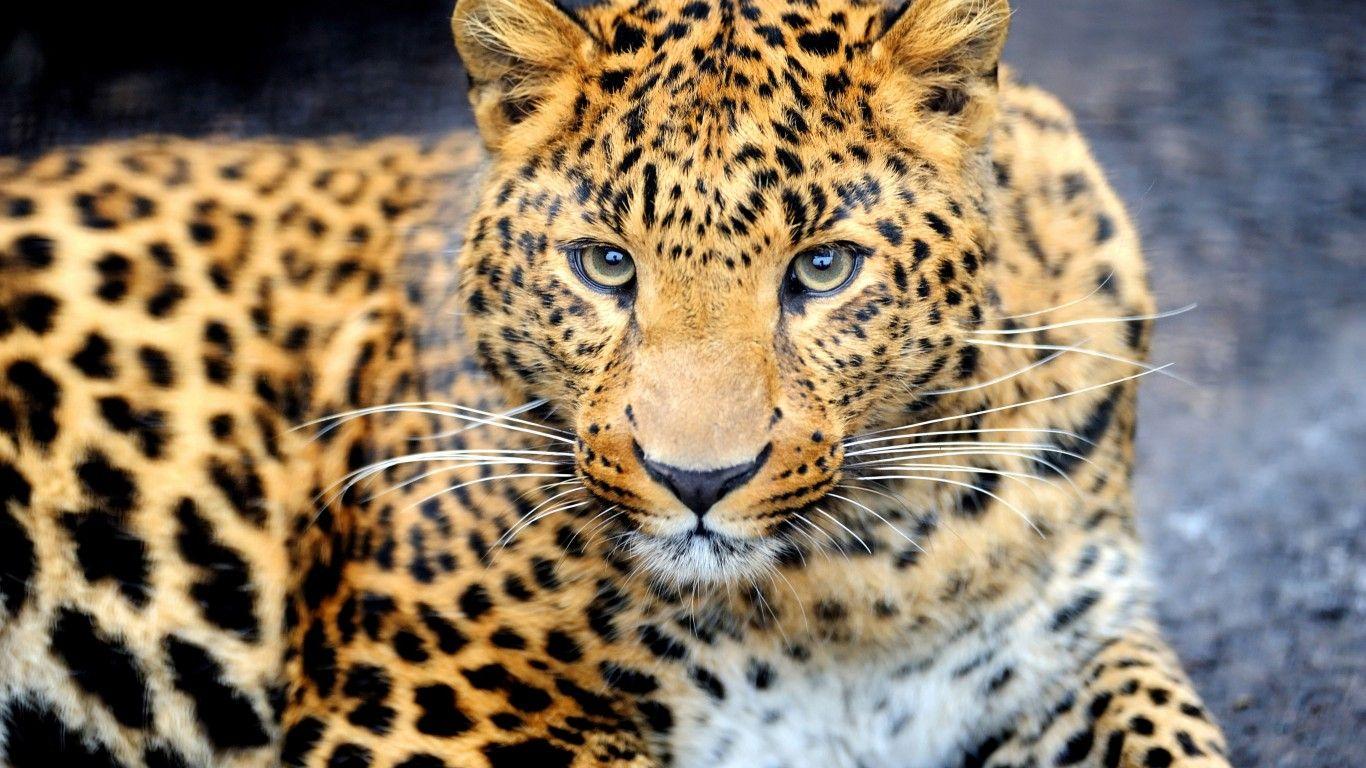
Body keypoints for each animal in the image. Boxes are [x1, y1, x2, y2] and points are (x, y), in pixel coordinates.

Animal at [0, 0, 1233, 767]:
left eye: (822, 268)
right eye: (605, 265)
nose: (699, 482)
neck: (852, 590)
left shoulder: (1067, 647)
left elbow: (1174, 735)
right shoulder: (420, 709)